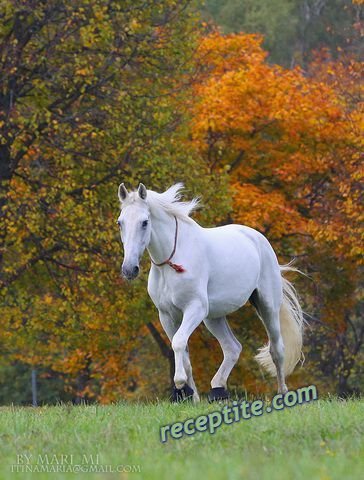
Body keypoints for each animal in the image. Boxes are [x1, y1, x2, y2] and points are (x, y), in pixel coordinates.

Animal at [117, 183, 304, 402]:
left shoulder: (195, 308)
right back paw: (218, 390)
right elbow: (184, 354)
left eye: (145, 222)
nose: (129, 269)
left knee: (277, 349)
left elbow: (178, 342)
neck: (172, 262)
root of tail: (258, 239)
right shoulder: (166, 315)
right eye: (120, 222)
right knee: (232, 348)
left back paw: (283, 394)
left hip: (267, 307)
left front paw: (179, 383)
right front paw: (191, 397)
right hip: (213, 317)